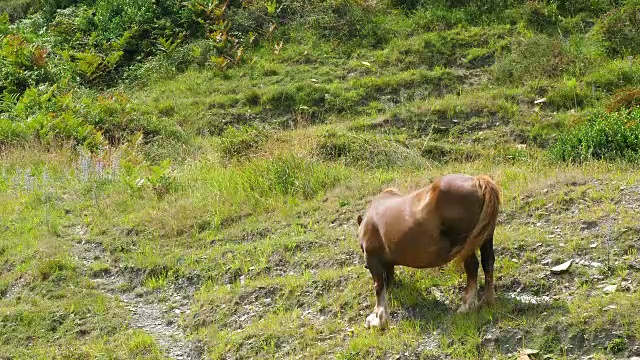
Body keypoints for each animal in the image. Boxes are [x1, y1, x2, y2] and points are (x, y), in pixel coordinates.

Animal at [356, 174, 500, 330]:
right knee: (488, 262)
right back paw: (487, 300)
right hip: (485, 237)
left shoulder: (373, 259)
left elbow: (379, 287)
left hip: (466, 244)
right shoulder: (387, 264)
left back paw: (467, 305)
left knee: (472, 266)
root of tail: (476, 181)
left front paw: (378, 319)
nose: (364, 266)